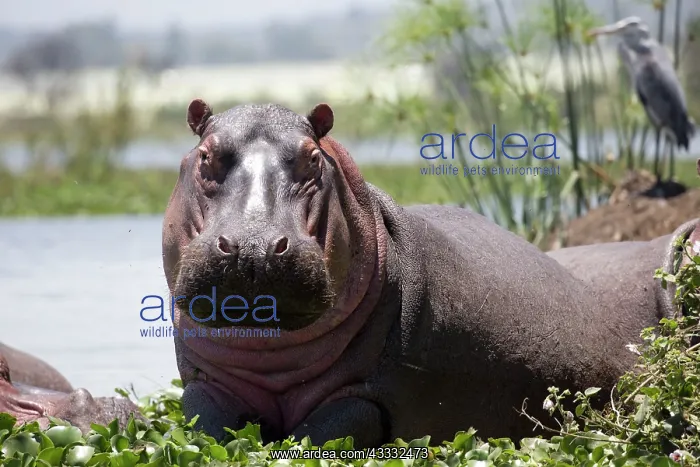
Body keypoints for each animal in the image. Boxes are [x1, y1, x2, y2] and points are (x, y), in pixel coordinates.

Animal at [162, 99, 684, 448]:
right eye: (206, 155)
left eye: (312, 157)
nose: (254, 246)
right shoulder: (206, 385)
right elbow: (206, 428)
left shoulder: (366, 396)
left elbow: (316, 435)